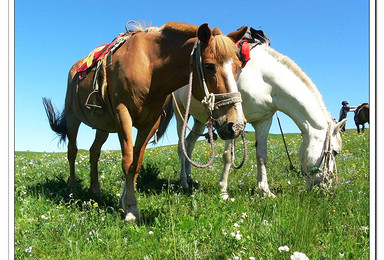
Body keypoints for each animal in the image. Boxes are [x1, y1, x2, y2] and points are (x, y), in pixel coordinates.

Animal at [166, 35, 346, 196]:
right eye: (335, 152)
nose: (327, 187)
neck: (263, 80)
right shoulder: (231, 123)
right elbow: (228, 156)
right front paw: (223, 190)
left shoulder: (263, 120)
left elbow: (261, 156)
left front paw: (264, 191)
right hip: (181, 113)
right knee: (181, 147)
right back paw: (184, 182)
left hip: (200, 121)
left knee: (189, 144)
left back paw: (190, 178)